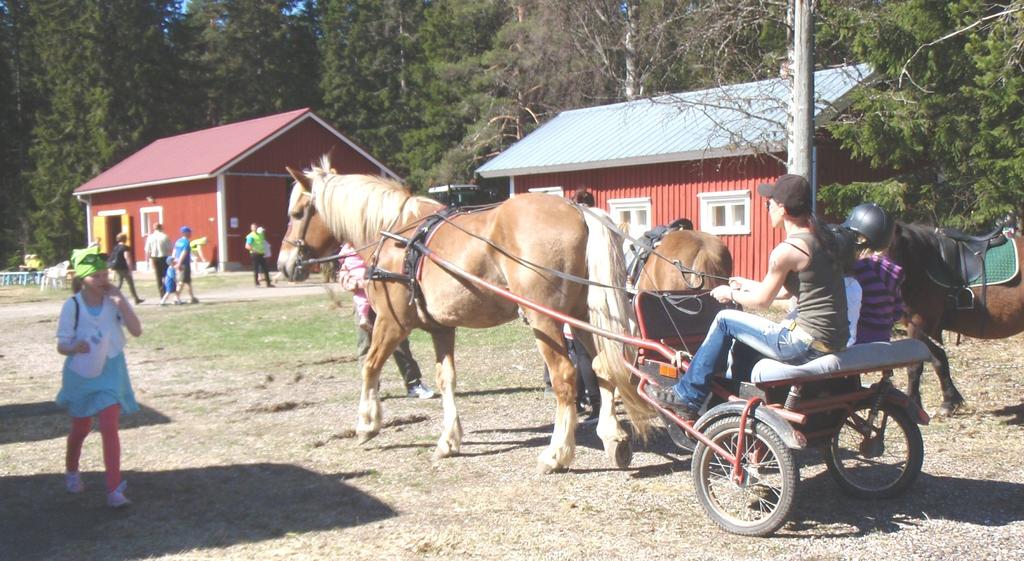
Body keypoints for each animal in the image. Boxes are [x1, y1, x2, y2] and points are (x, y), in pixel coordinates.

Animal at [276, 157, 651, 472]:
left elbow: (370, 366)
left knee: (566, 377)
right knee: (605, 366)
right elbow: (447, 380)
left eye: (296, 214)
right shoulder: (442, 328)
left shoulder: (392, 322)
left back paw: (556, 454)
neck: (397, 232)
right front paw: (448, 439)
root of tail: (576, 209)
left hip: (544, 320)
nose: (284, 264)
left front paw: (367, 423)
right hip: (585, 314)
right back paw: (614, 438)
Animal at [888, 223, 1024, 415]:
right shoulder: (927, 328)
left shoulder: (919, 324)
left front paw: (913, 404)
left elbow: (915, 367)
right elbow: (939, 360)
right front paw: (949, 401)